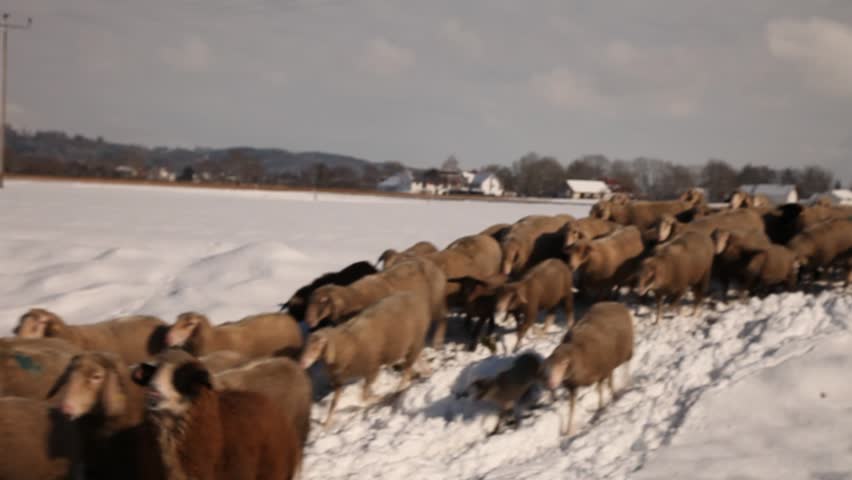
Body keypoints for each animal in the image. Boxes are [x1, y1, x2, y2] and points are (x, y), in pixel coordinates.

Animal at [299, 292, 432, 427]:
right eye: (306, 347)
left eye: (316, 347)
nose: (302, 363)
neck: (343, 345)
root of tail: (414, 296)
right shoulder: (339, 381)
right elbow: (334, 403)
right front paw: (327, 423)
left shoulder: (371, 370)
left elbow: (364, 396)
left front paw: (382, 398)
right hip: (411, 344)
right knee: (416, 361)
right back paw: (427, 372)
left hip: (414, 340)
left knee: (408, 370)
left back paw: (399, 390)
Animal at [304, 256, 447, 346]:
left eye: (323, 301)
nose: (309, 321)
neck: (354, 297)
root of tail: (435, 266)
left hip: (435, 302)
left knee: (442, 319)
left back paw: (437, 341)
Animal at [544, 301, 634, 436]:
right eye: (550, 365)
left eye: (564, 363)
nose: (551, 383)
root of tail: (614, 303)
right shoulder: (572, 386)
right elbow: (572, 408)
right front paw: (569, 430)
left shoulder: (601, 371)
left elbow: (600, 392)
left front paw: (600, 411)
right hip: (611, 360)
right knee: (611, 376)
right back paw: (612, 391)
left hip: (625, 351)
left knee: (625, 366)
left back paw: (624, 386)